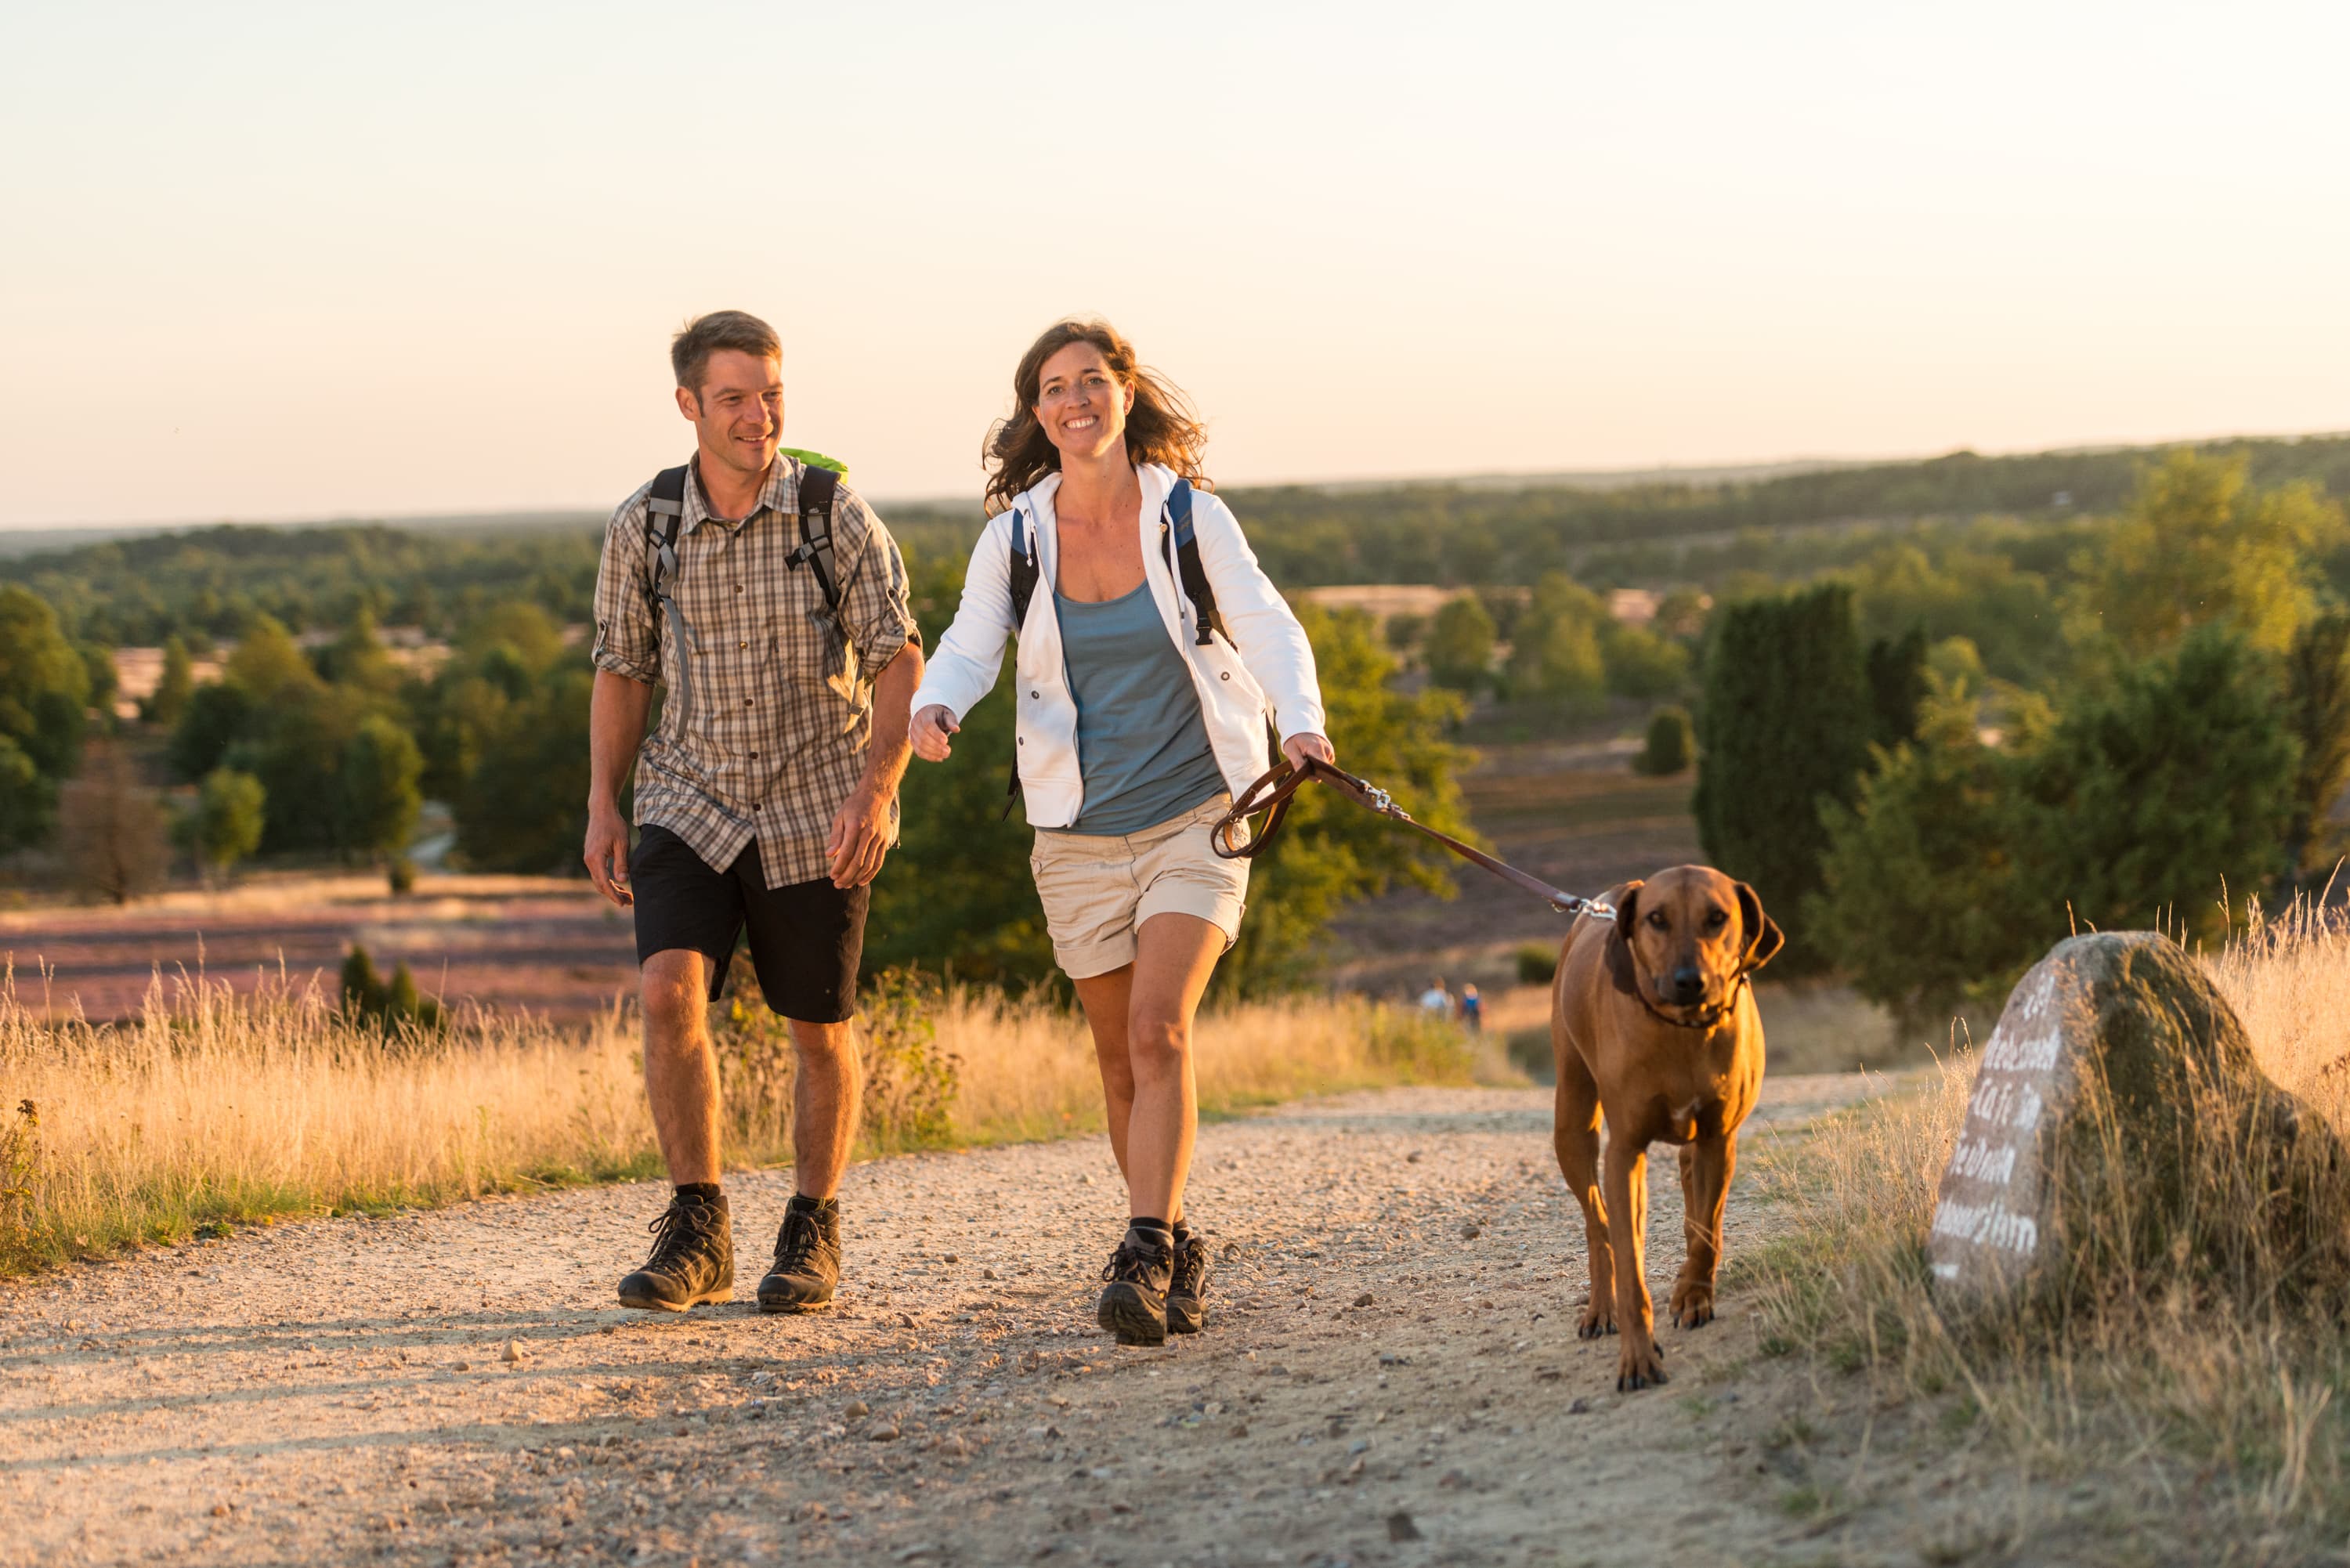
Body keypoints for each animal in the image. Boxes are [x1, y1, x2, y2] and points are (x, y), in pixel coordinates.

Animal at [1560, 865, 1777, 1391]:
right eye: (1656, 918)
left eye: (1717, 917)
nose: (1689, 982)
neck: (1682, 1031)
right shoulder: (1626, 1151)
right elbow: (1629, 1266)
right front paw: (1638, 1356)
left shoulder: (1719, 1139)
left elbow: (1707, 1231)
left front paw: (1693, 1296)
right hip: (1571, 1123)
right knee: (1598, 1224)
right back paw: (1601, 1308)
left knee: (1690, 1200)